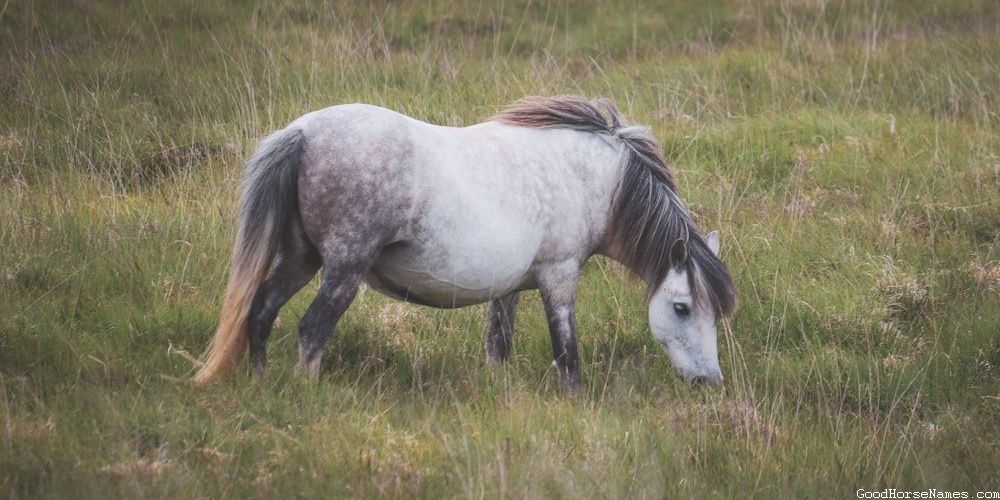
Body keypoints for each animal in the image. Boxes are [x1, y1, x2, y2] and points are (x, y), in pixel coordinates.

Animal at [192, 95, 736, 390]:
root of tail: (302, 132)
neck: (595, 177)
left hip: (301, 259)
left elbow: (499, 348)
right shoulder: (559, 276)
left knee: (261, 311)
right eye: (682, 307)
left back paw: (263, 385)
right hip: (343, 269)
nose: (709, 382)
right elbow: (568, 356)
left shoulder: (511, 287)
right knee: (311, 329)